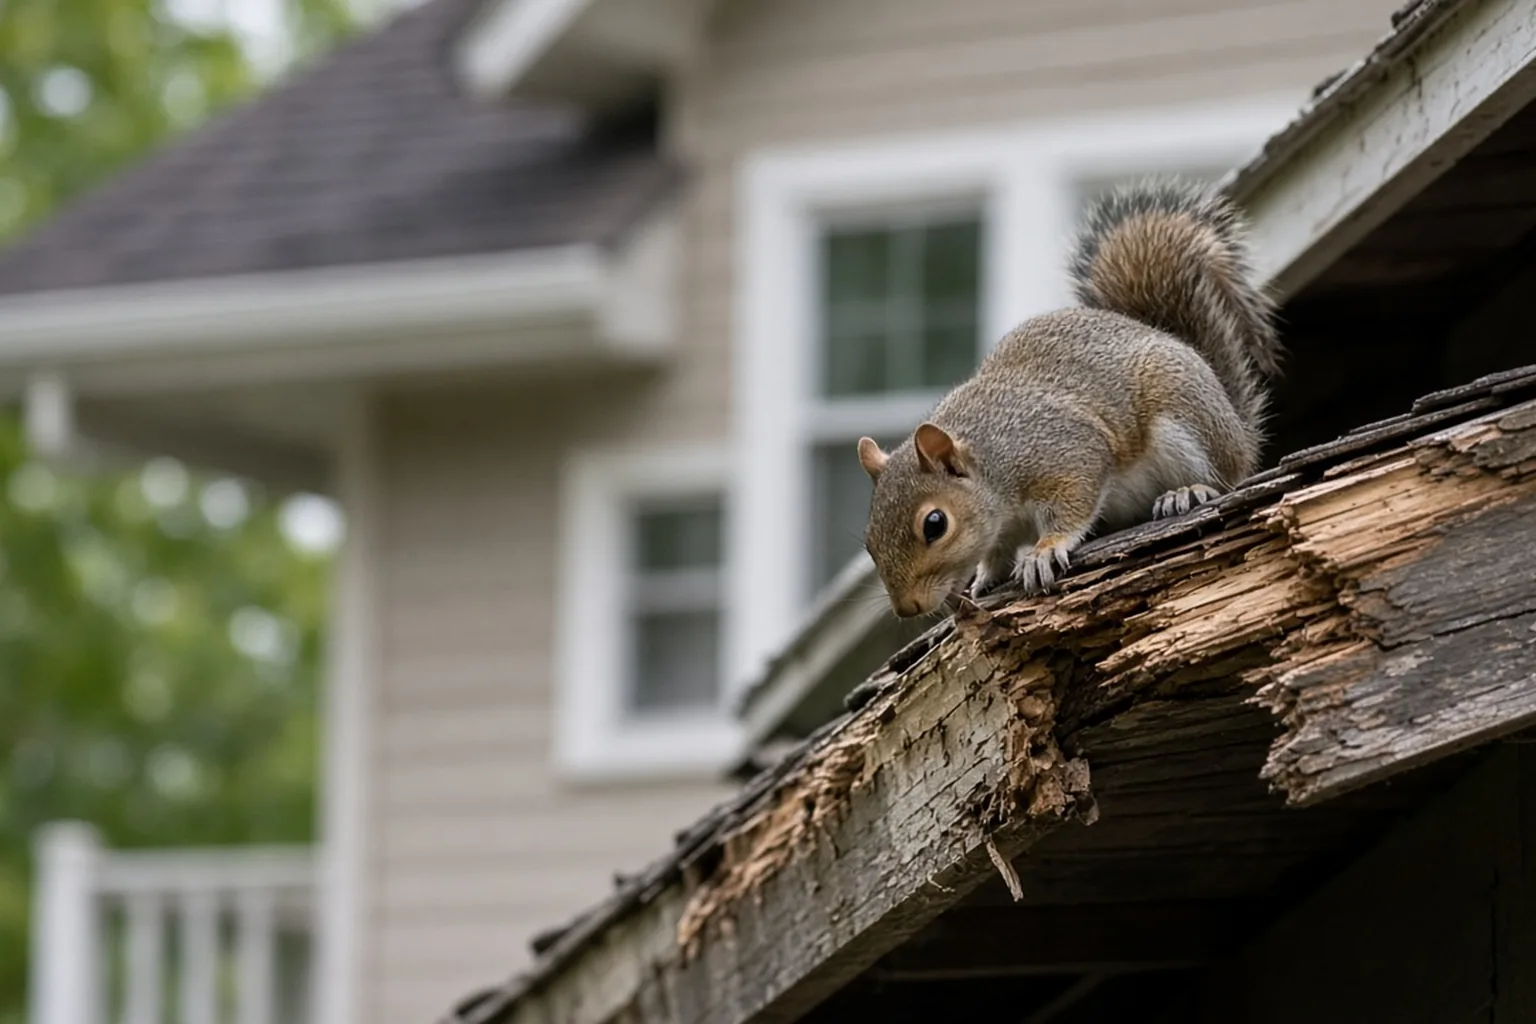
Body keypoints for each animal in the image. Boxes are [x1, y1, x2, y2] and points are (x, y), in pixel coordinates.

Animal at [856, 177, 1281, 618]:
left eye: (935, 524)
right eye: (868, 541)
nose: (908, 608)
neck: (992, 460)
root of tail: (1235, 425)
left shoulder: (1066, 452)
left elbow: (1074, 501)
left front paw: (1045, 550)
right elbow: (997, 550)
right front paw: (986, 575)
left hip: (1183, 413)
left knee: (1224, 476)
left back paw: (1188, 491)